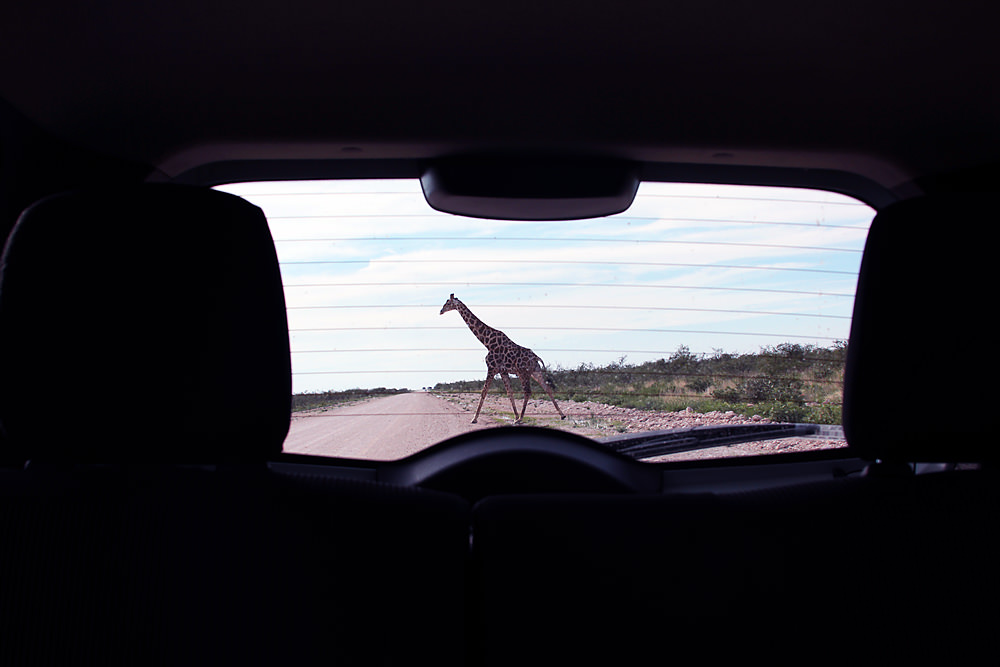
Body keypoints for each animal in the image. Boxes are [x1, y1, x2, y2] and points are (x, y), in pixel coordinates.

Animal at [441, 293, 566, 425]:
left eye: (447, 303)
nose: (441, 311)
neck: (487, 342)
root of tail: (536, 357)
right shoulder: (503, 371)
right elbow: (509, 392)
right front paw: (515, 416)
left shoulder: (492, 368)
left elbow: (484, 392)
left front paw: (474, 418)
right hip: (535, 372)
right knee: (547, 388)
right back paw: (561, 415)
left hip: (523, 372)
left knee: (528, 391)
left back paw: (521, 418)